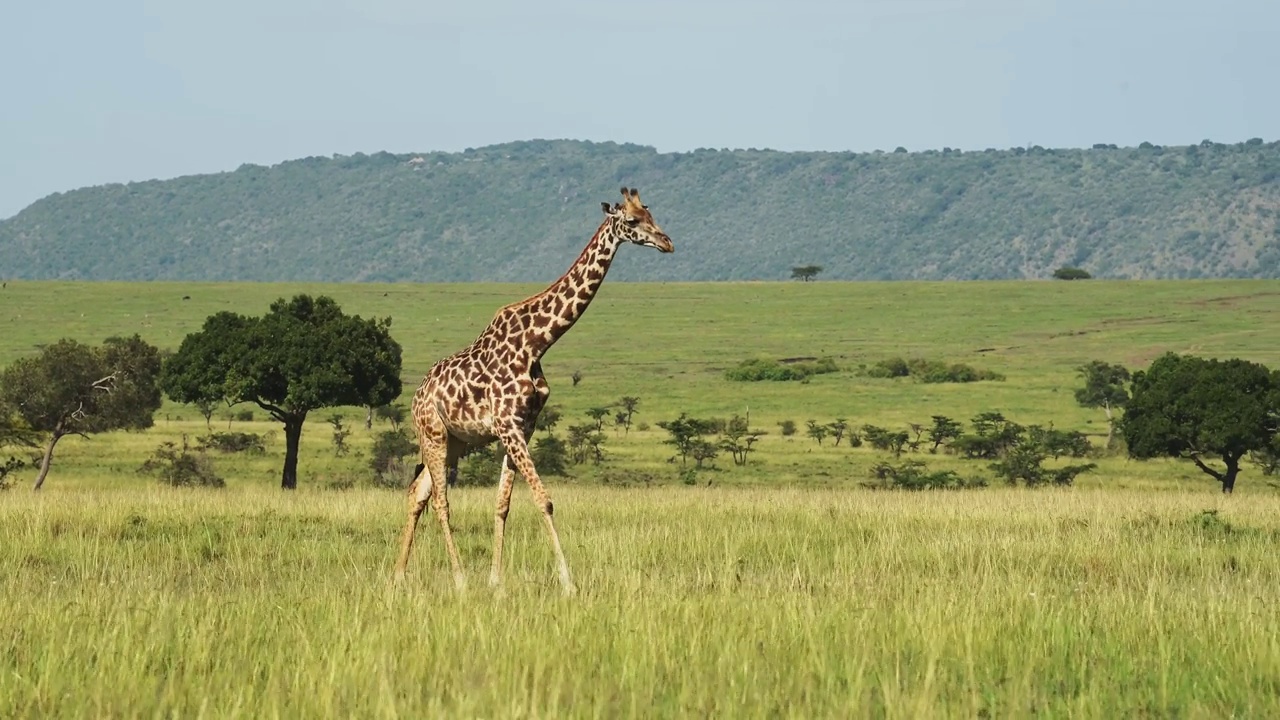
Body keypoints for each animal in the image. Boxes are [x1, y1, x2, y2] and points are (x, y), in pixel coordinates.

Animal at [396, 188, 680, 591]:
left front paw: (496, 582)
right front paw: (568, 582)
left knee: (417, 492)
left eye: (650, 213)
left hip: (457, 441)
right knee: (439, 500)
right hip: (432, 432)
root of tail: (417, 396)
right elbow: (544, 500)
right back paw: (460, 580)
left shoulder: (522, 426)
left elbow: (502, 504)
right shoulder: (508, 425)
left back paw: (398, 575)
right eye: (631, 220)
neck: (536, 343)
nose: (666, 242)